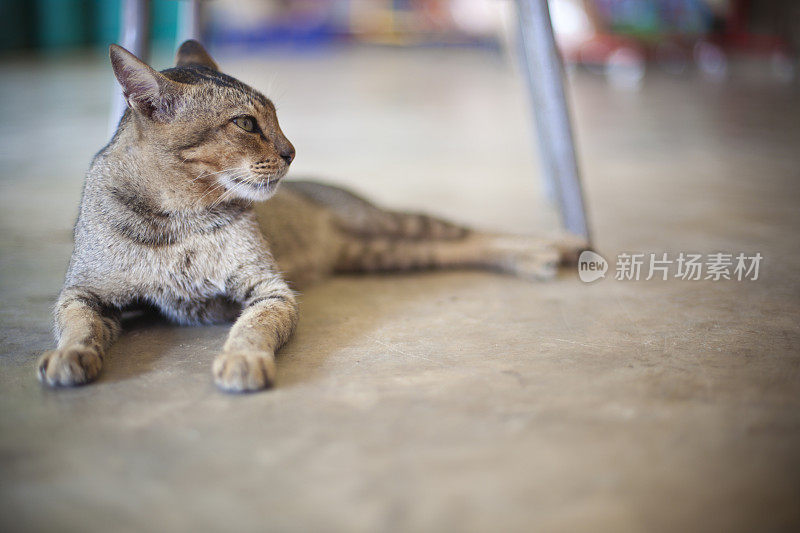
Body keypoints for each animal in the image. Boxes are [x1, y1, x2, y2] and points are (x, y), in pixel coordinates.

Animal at [37, 40, 584, 390]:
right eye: (245, 123)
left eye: (277, 117)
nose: (292, 151)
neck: (180, 219)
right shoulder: (84, 291)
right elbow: (77, 325)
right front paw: (69, 355)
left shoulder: (270, 290)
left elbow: (252, 328)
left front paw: (242, 358)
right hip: (380, 252)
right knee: (453, 248)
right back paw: (539, 255)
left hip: (385, 223)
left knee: (471, 231)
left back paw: (557, 244)